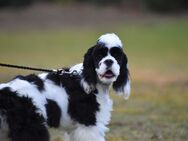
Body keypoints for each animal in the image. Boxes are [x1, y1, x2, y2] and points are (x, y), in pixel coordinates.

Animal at [0, 33, 131, 141]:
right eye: (99, 55)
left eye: (117, 56)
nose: (109, 61)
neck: (90, 79)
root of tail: (6, 92)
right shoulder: (88, 125)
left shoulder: (75, 129)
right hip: (31, 128)